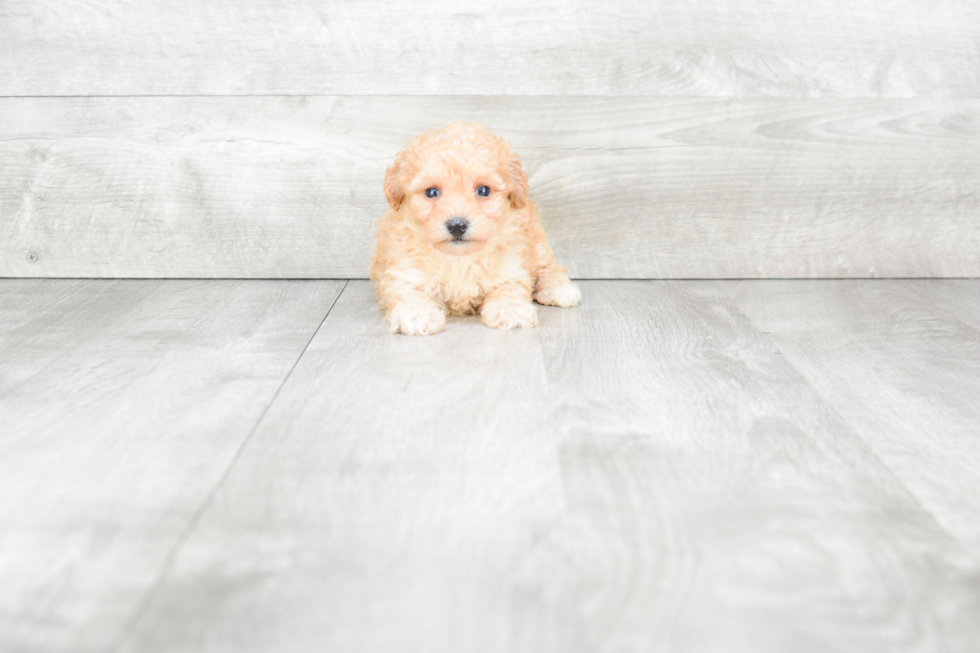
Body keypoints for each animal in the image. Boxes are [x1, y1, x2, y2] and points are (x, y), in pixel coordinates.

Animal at [372, 122, 580, 336]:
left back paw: (558, 289)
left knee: (547, 266)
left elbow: (509, 288)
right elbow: (410, 293)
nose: (457, 226)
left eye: (483, 190)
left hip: (537, 240)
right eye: (431, 192)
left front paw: (510, 309)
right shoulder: (406, 271)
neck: (459, 258)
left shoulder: (510, 267)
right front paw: (417, 314)